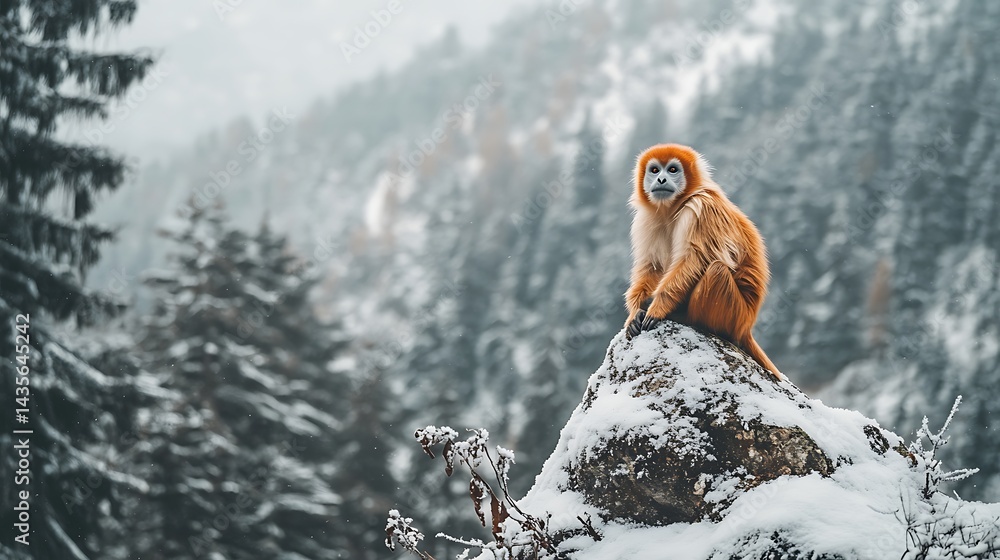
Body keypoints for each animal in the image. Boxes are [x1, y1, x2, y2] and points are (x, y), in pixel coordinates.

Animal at [623, 143, 781, 380]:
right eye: (654, 170)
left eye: (672, 170)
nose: (661, 179)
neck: (675, 207)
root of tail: (747, 327)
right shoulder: (646, 219)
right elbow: (651, 266)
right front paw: (635, 312)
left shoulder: (702, 207)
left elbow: (696, 259)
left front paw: (657, 307)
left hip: (736, 316)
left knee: (716, 270)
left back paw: (689, 320)